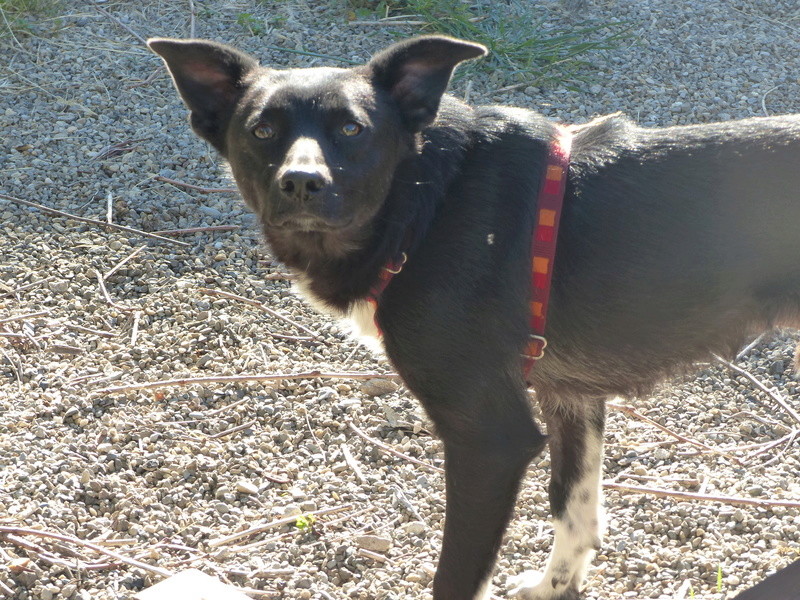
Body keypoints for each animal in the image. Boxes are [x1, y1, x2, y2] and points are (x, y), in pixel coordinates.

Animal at [148, 35, 800, 596]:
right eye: (262, 130)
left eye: (352, 129)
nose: (302, 182)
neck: (424, 203)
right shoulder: (571, 396)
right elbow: (574, 509)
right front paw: (553, 588)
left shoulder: (490, 439)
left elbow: (457, 576)